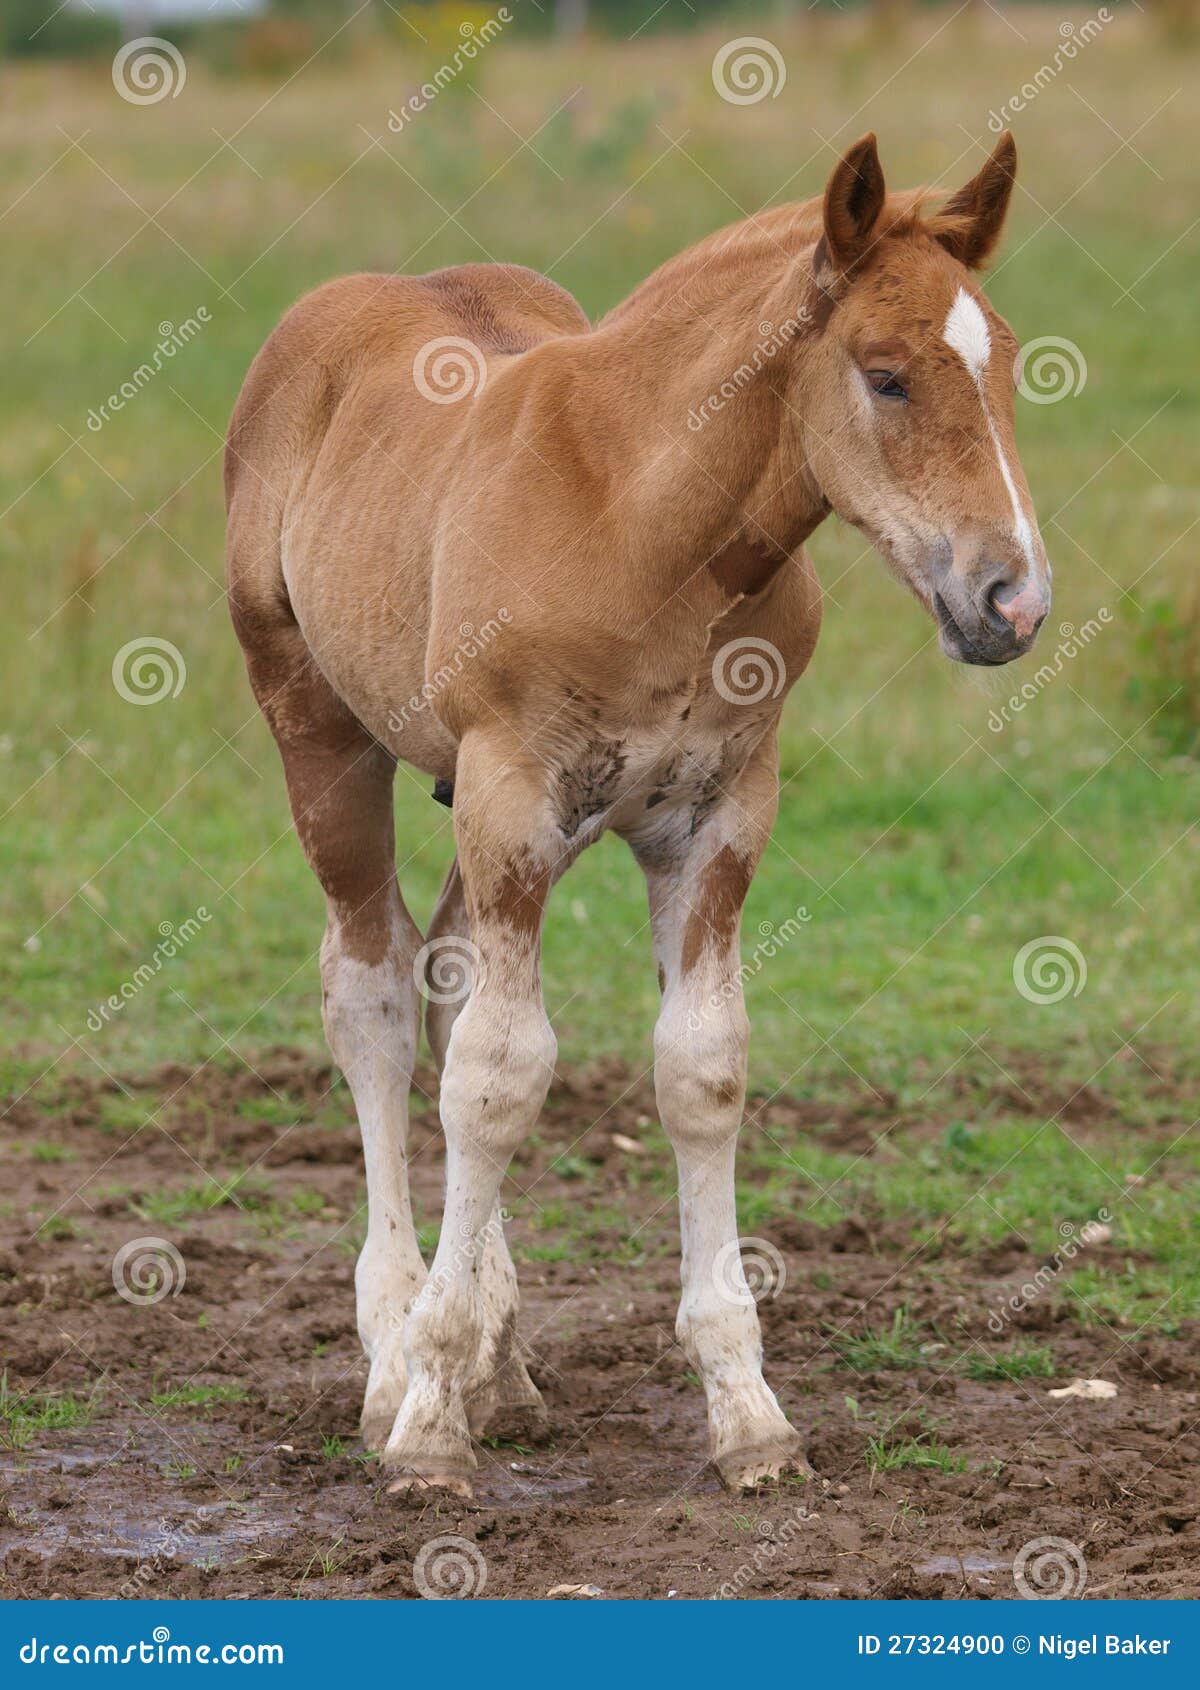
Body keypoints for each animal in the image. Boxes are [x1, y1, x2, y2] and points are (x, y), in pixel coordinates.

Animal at [225, 131, 1050, 1496]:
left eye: (1015, 368)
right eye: (885, 376)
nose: (1012, 601)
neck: (640, 524)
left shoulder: (718, 815)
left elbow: (698, 1067)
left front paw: (747, 1414)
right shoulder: (511, 791)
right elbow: (500, 1076)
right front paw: (429, 1423)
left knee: (444, 976)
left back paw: (501, 1362)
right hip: (321, 734)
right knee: (377, 995)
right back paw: (395, 1354)